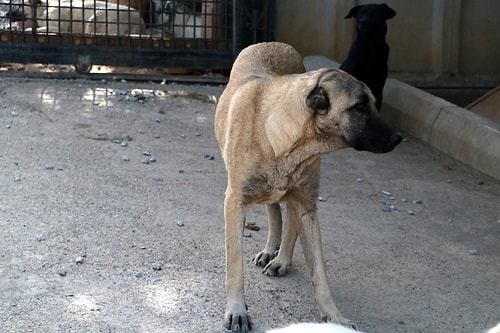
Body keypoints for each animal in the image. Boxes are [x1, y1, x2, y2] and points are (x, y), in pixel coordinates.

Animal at [215, 42, 402, 330]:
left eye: (372, 102)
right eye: (359, 106)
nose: (398, 138)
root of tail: (275, 44)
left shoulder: (307, 208)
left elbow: (320, 272)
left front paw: (334, 316)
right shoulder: (234, 203)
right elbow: (234, 266)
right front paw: (236, 310)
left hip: (297, 196)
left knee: (289, 218)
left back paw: (281, 259)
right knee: (274, 212)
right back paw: (271, 250)